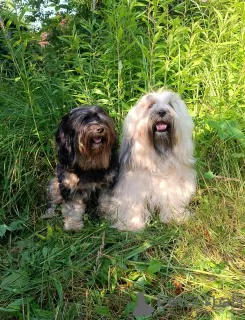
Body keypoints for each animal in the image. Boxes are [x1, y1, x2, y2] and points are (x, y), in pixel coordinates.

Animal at [104, 90, 196, 230]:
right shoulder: (134, 187)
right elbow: (134, 204)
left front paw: (175, 218)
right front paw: (132, 224)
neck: (159, 156)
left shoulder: (173, 185)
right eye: (151, 105)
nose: (162, 112)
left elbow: (172, 199)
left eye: (170, 104)